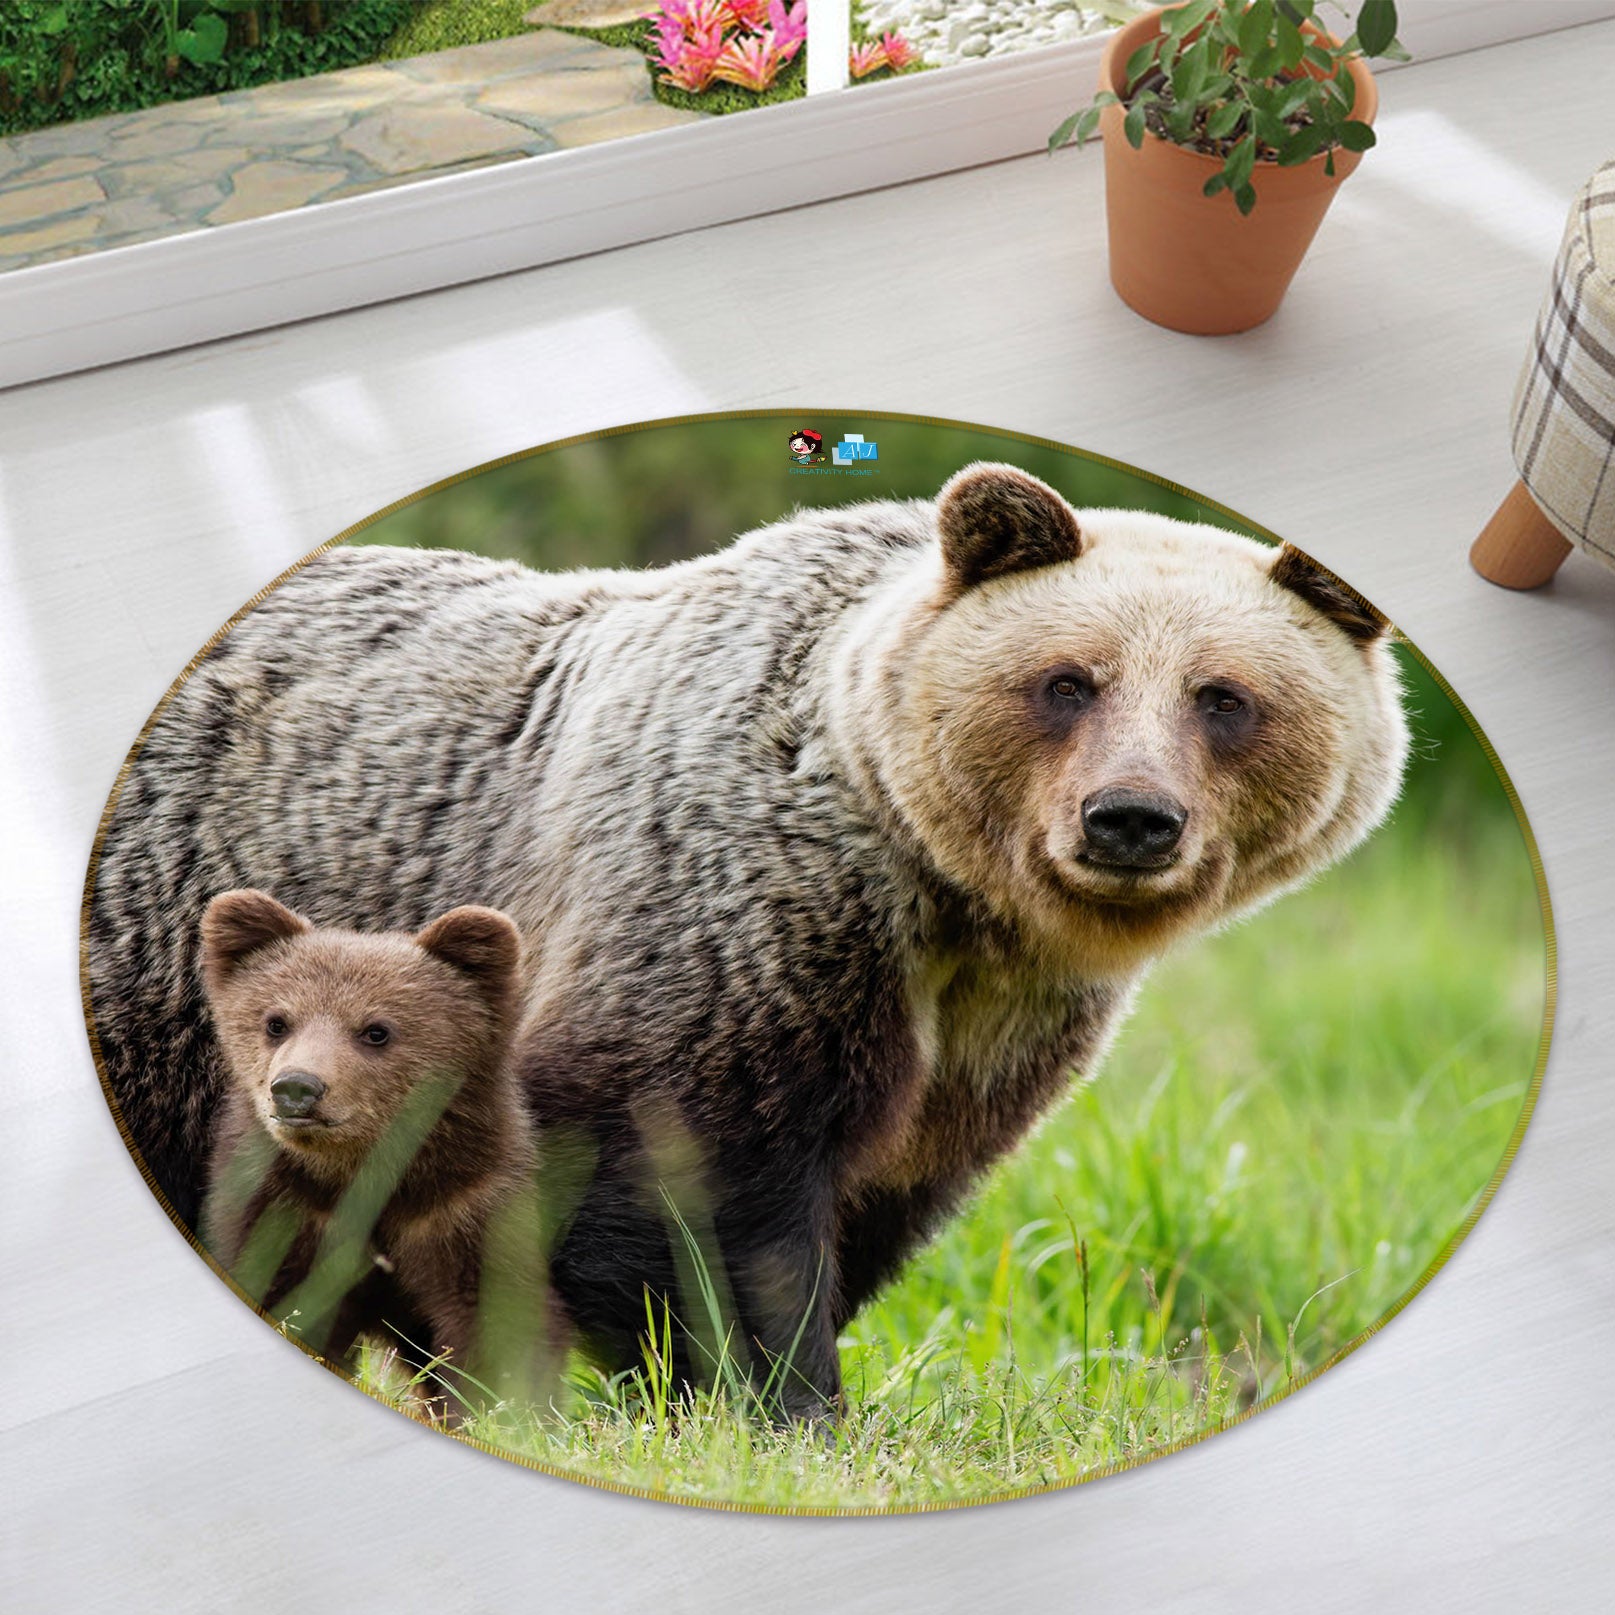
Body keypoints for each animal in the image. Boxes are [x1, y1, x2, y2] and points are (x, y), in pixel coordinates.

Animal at [197, 888, 559, 1423]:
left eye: (376, 1030)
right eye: (276, 1022)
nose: (297, 1088)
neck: (369, 1176)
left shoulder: (464, 1208)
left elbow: (494, 1324)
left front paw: (495, 1413)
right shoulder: (288, 1210)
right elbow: (286, 1298)